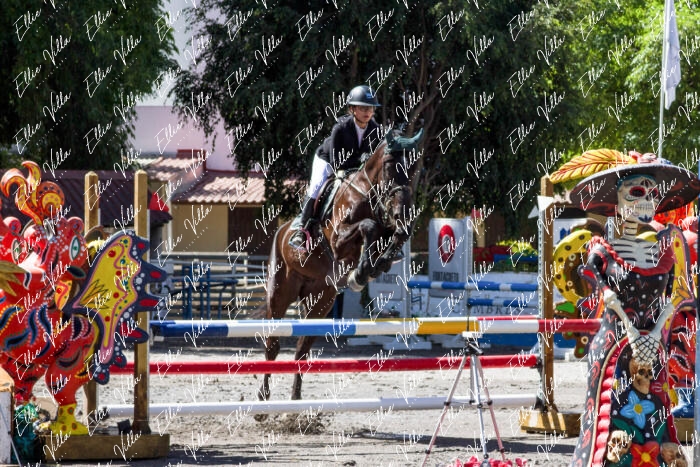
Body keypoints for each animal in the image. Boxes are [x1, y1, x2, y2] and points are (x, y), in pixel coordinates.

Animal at [260, 128, 424, 402]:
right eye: (390, 167)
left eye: (411, 169)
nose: (403, 212)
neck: (367, 193)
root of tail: (281, 230)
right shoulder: (338, 240)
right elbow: (369, 226)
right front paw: (362, 271)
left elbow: (392, 236)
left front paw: (376, 265)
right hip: (280, 293)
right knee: (272, 344)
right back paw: (263, 398)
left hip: (321, 300)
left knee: (301, 350)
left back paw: (295, 402)